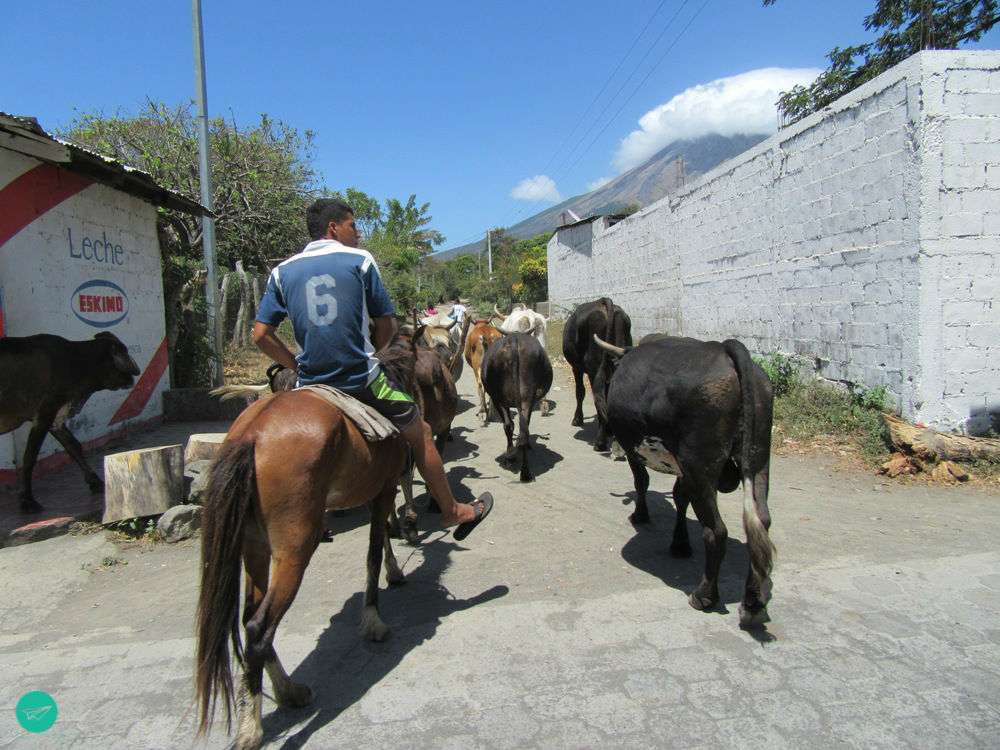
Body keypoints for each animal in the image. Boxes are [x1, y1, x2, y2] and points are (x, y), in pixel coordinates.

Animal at [0, 332, 141, 516]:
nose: (132, 377)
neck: (76, 359)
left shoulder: (55, 417)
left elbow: (73, 445)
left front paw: (95, 481)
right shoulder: (45, 412)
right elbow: (29, 457)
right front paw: (27, 500)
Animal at [195, 336, 418, 750]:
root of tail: (251, 435)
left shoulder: (372, 491)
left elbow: (381, 540)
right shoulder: (381, 490)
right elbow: (374, 551)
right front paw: (375, 618)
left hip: (254, 544)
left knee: (250, 617)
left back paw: (289, 691)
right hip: (293, 549)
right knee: (258, 627)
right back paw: (252, 726)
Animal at [482, 334, 556, 482]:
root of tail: (513, 338)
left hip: (498, 397)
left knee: (510, 426)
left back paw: (514, 462)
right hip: (525, 397)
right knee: (523, 430)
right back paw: (525, 472)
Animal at [564, 300, 632, 452]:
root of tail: (604, 302)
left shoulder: (576, 368)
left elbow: (580, 392)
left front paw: (577, 419)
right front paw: (610, 429)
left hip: (594, 369)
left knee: (597, 398)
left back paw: (600, 442)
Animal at [596, 334, 776, 628]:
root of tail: (725, 349)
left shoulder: (638, 450)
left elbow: (642, 482)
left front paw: (640, 515)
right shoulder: (681, 467)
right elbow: (680, 498)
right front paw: (680, 542)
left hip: (699, 463)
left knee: (716, 531)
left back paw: (704, 595)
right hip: (758, 459)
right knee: (761, 521)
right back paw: (753, 603)